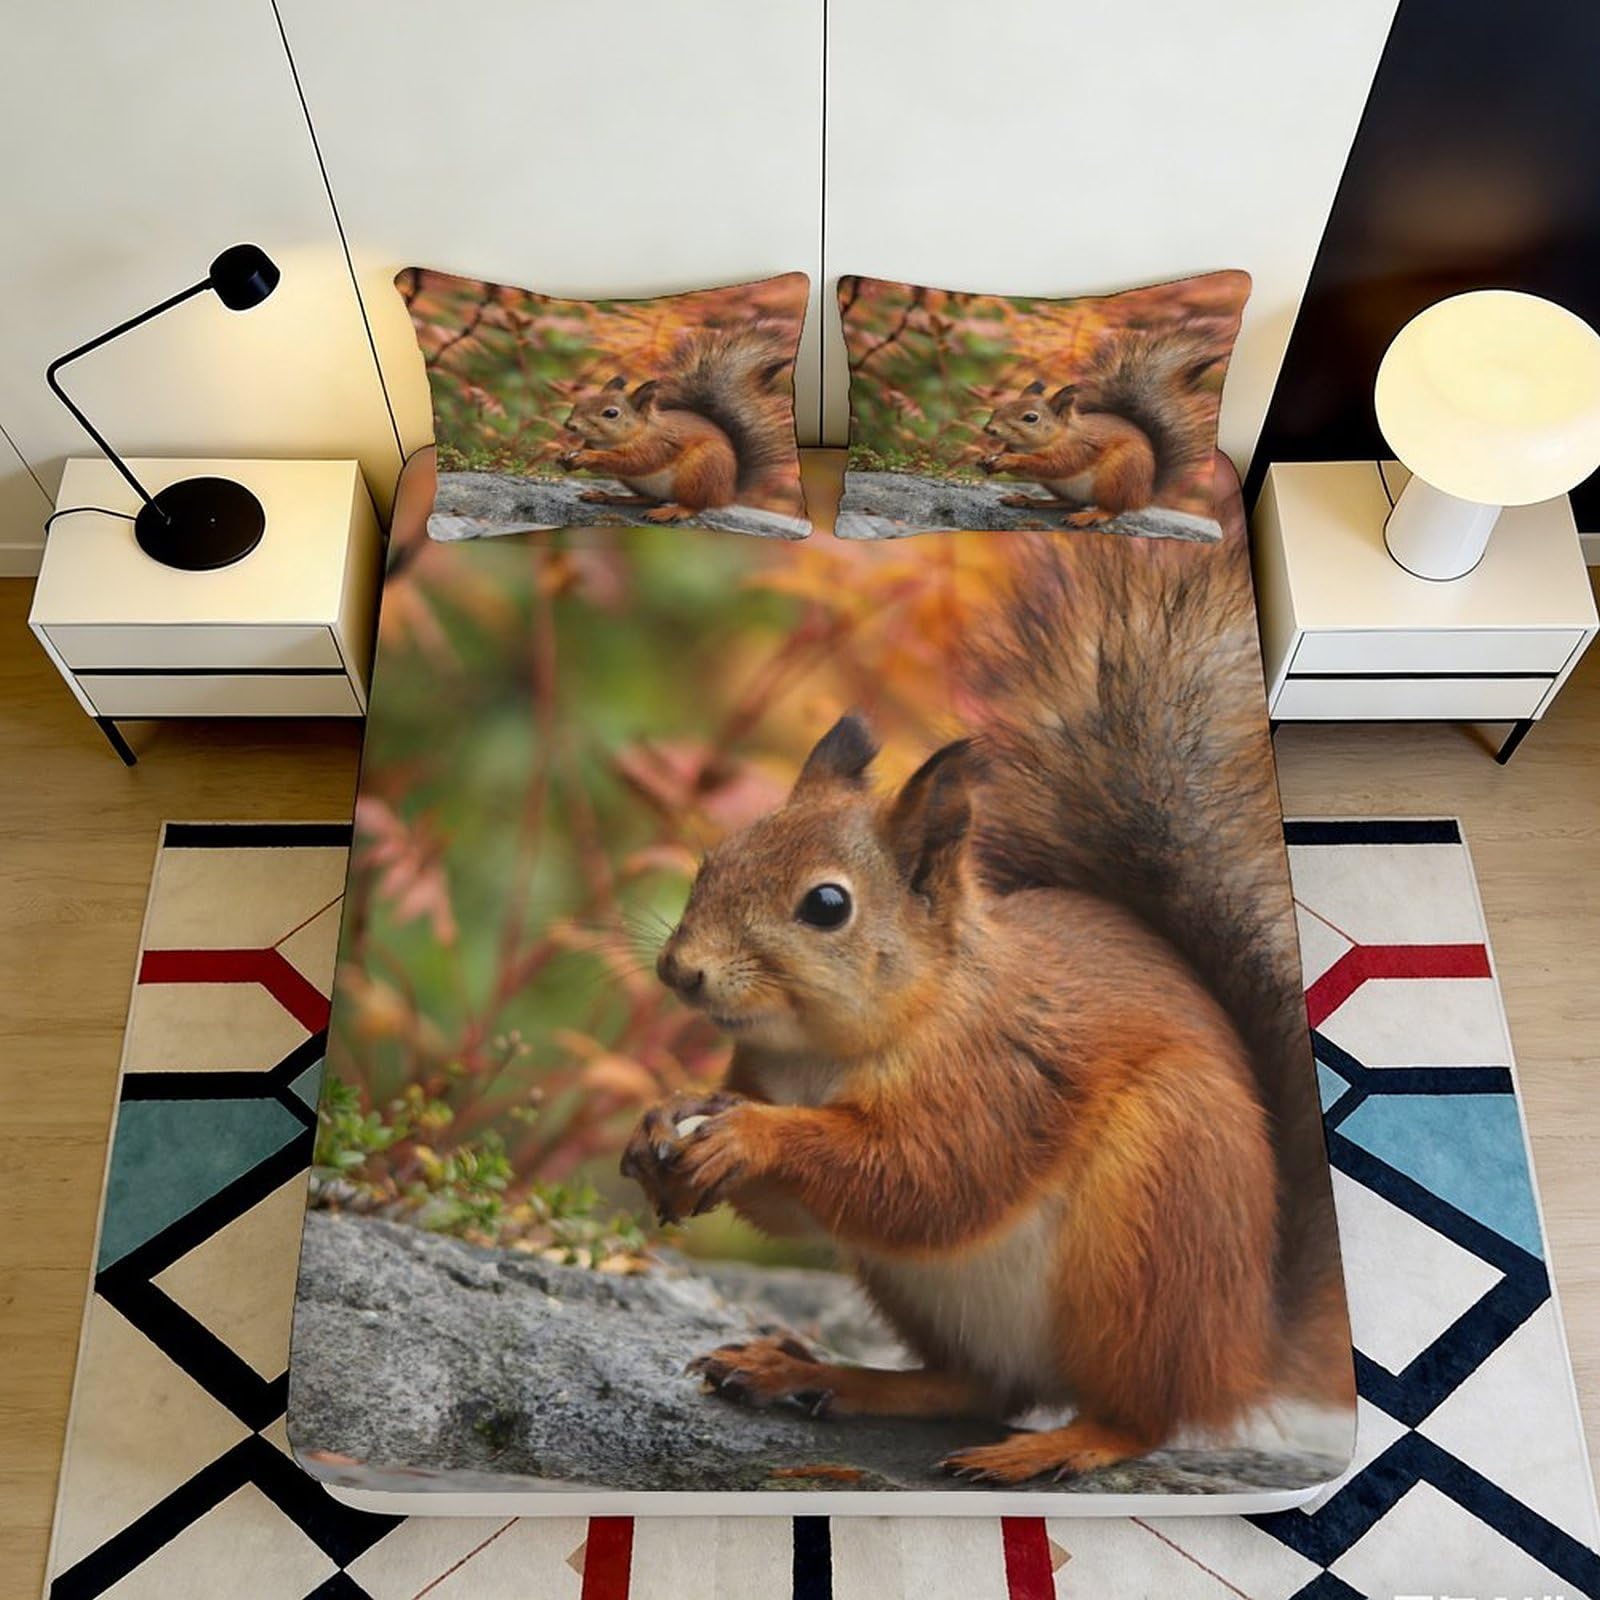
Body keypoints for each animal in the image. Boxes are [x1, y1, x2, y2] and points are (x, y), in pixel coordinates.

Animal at [558, 326, 797, 523]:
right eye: (581, 402)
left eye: (611, 413)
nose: (570, 425)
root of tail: (727, 493)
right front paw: (566, 456)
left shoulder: (658, 445)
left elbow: (634, 462)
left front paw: (589, 457)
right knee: (649, 498)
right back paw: (611, 497)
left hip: (701, 471)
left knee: (696, 505)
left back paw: (673, 511)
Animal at [620, 509, 1353, 1484]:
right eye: (718, 855)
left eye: (827, 906)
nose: (682, 971)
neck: (824, 1053)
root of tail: (1242, 1350)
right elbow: (796, 1205)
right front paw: (664, 1120)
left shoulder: (1000, 1076)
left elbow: (926, 1177)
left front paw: (751, 1136)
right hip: (921, 1290)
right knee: (976, 1386)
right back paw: (824, 1376)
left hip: (1151, 1227)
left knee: (1141, 1413)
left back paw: (1058, 1446)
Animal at [978, 331, 1220, 526]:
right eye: (999, 408)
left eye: (1030, 418)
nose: (990, 430)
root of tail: (1144, 495)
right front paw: (988, 458)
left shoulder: (1078, 449)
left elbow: (1053, 465)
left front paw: (1010, 459)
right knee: (1070, 502)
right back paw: (1032, 501)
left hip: (1118, 476)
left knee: (1112, 509)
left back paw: (1091, 516)